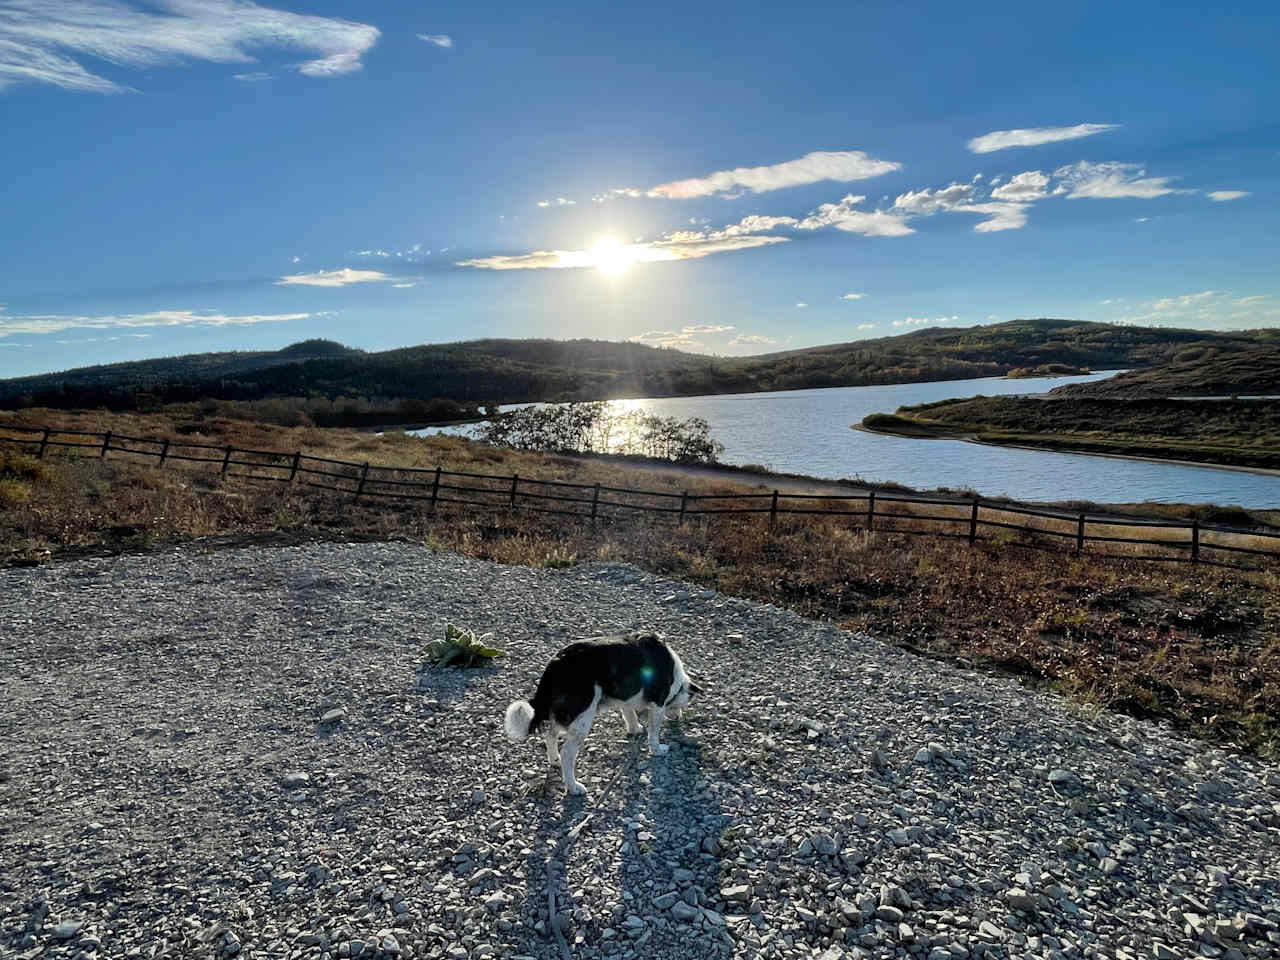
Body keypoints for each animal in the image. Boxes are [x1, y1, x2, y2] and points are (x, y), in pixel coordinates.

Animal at [501, 632, 701, 798]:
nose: (679, 718)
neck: (675, 674)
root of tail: (556, 663)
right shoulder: (658, 705)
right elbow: (654, 732)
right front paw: (658, 750)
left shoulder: (625, 696)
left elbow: (629, 713)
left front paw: (635, 729)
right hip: (582, 717)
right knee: (567, 754)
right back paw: (573, 787)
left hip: (565, 713)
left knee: (550, 736)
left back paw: (554, 759)